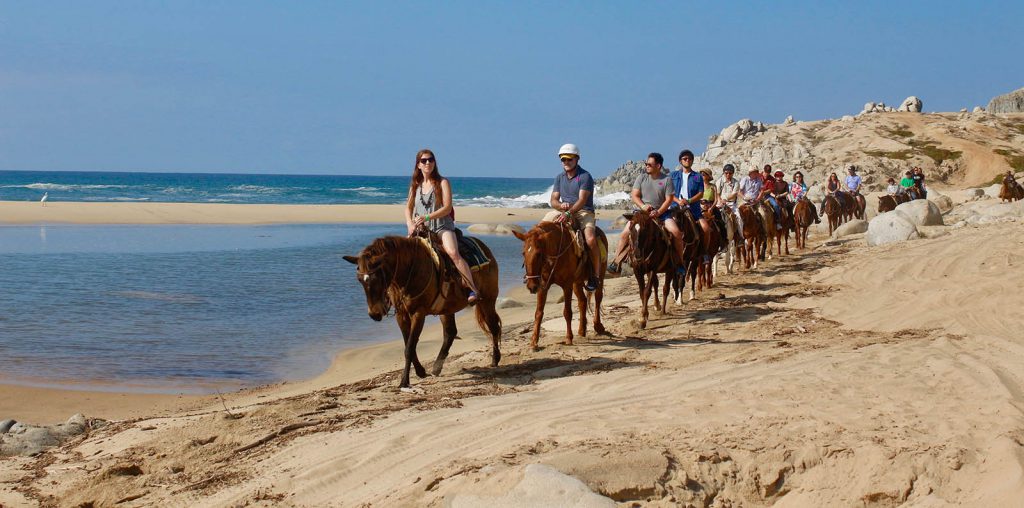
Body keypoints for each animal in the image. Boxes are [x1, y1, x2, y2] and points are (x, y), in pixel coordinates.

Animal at [344, 235, 503, 389]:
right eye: (359, 279)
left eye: (377, 277)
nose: (374, 314)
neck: (409, 272)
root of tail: (483, 247)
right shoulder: (401, 315)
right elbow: (409, 344)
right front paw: (420, 371)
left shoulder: (418, 314)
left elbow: (409, 347)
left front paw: (404, 381)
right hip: (446, 309)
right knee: (450, 332)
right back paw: (436, 367)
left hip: (487, 301)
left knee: (493, 327)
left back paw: (495, 359)